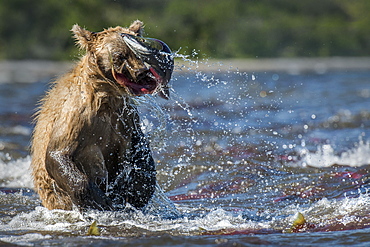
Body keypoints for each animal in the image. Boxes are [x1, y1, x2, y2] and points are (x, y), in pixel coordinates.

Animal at [31, 20, 174, 211]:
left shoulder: (126, 118)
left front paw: (137, 189)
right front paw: (97, 199)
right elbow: (58, 153)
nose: (142, 72)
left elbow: (139, 150)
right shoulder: (77, 114)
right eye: (120, 55)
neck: (107, 95)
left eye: (138, 54)